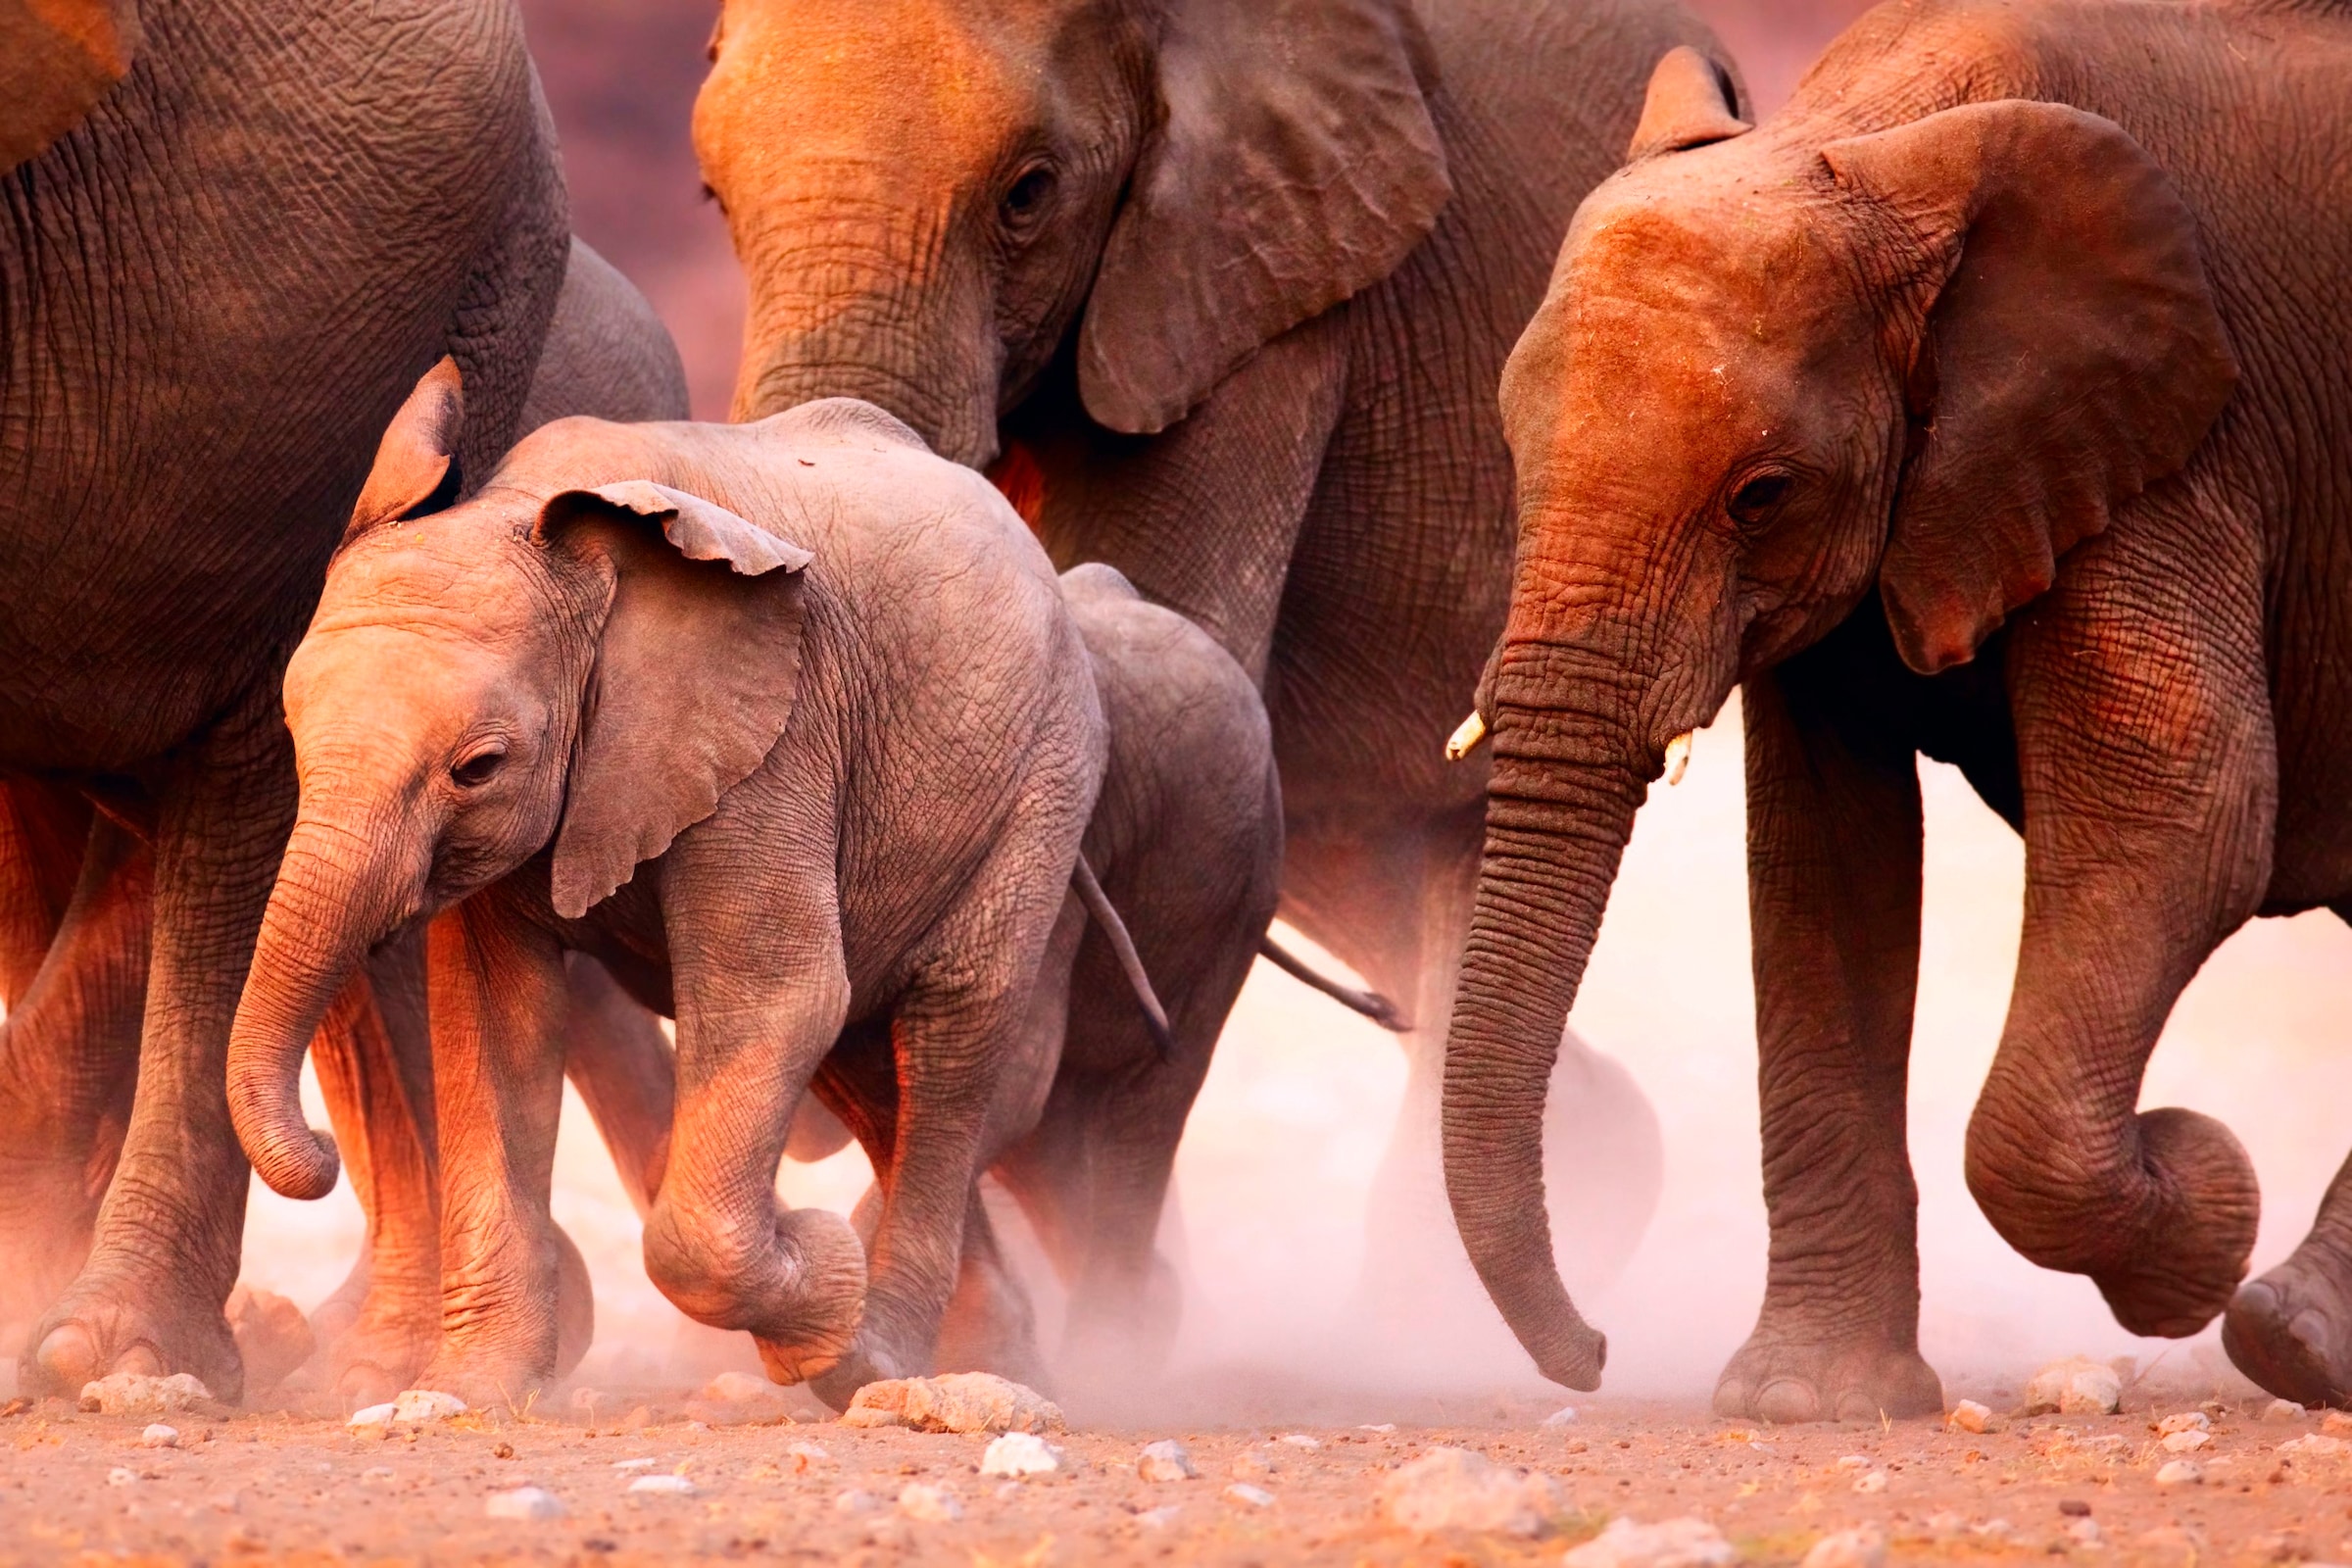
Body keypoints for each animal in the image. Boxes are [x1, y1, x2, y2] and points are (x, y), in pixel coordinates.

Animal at [1439, 0, 2352, 1419]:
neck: (1880, 140)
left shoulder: (2179, 439)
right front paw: (1808, 1405)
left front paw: (2202, 1207)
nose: (1591, 1355)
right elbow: (1824, 866)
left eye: (1761, 494)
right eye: (1511, 451)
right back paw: (2304, 1338)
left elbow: (2185, 809)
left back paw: (2286, 1338)